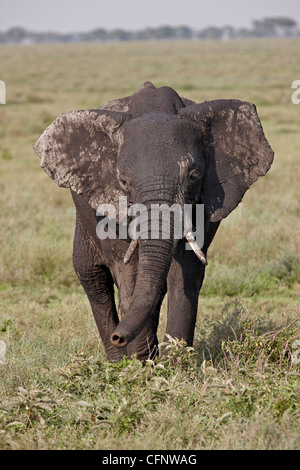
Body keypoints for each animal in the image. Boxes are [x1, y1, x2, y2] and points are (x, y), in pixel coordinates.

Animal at [33, 81, 274, 362]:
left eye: (193, 176)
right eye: (123, 181)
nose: (118, 337)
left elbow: (185, 272)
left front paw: (174, 362)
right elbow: (129, 272)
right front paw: (141, 364)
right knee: (92, 278)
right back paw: (116, 361)